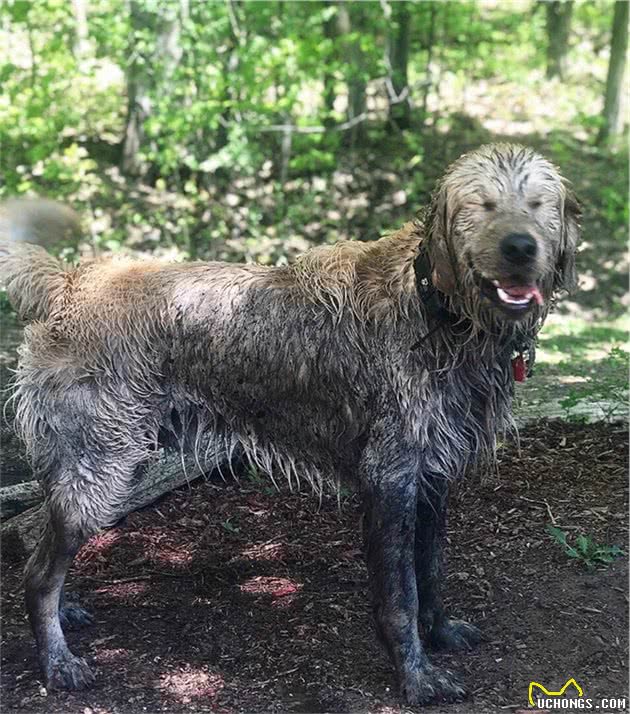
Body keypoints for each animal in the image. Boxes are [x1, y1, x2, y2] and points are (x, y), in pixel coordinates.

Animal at [1, 143, 584, 700]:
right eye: (481, 205)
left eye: (538, 205)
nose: (520, 248)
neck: (438, 310)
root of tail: (68, 283)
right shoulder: (390, 479)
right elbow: (401, 594)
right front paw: (416, 677)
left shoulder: (434, 477)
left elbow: (432, 569)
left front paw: (439, 631)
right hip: (102, 467)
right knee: (37, 574)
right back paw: (58, 661)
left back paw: (67, 609)